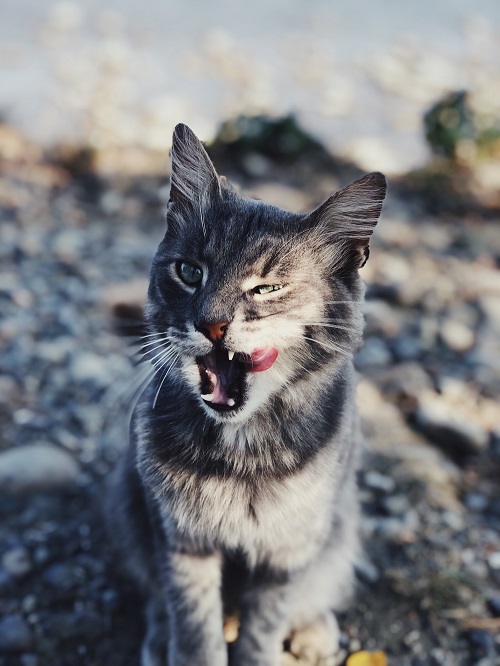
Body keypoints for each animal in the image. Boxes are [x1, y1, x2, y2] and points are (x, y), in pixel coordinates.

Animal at [106, 122, 386, 660]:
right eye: (189, 271)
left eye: (267, 289)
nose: (211, 324)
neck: (240, 453)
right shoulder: (181, 541)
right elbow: (194, 625)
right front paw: (188, 648)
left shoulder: (289, 552)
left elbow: (263, 626)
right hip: (131, 508)